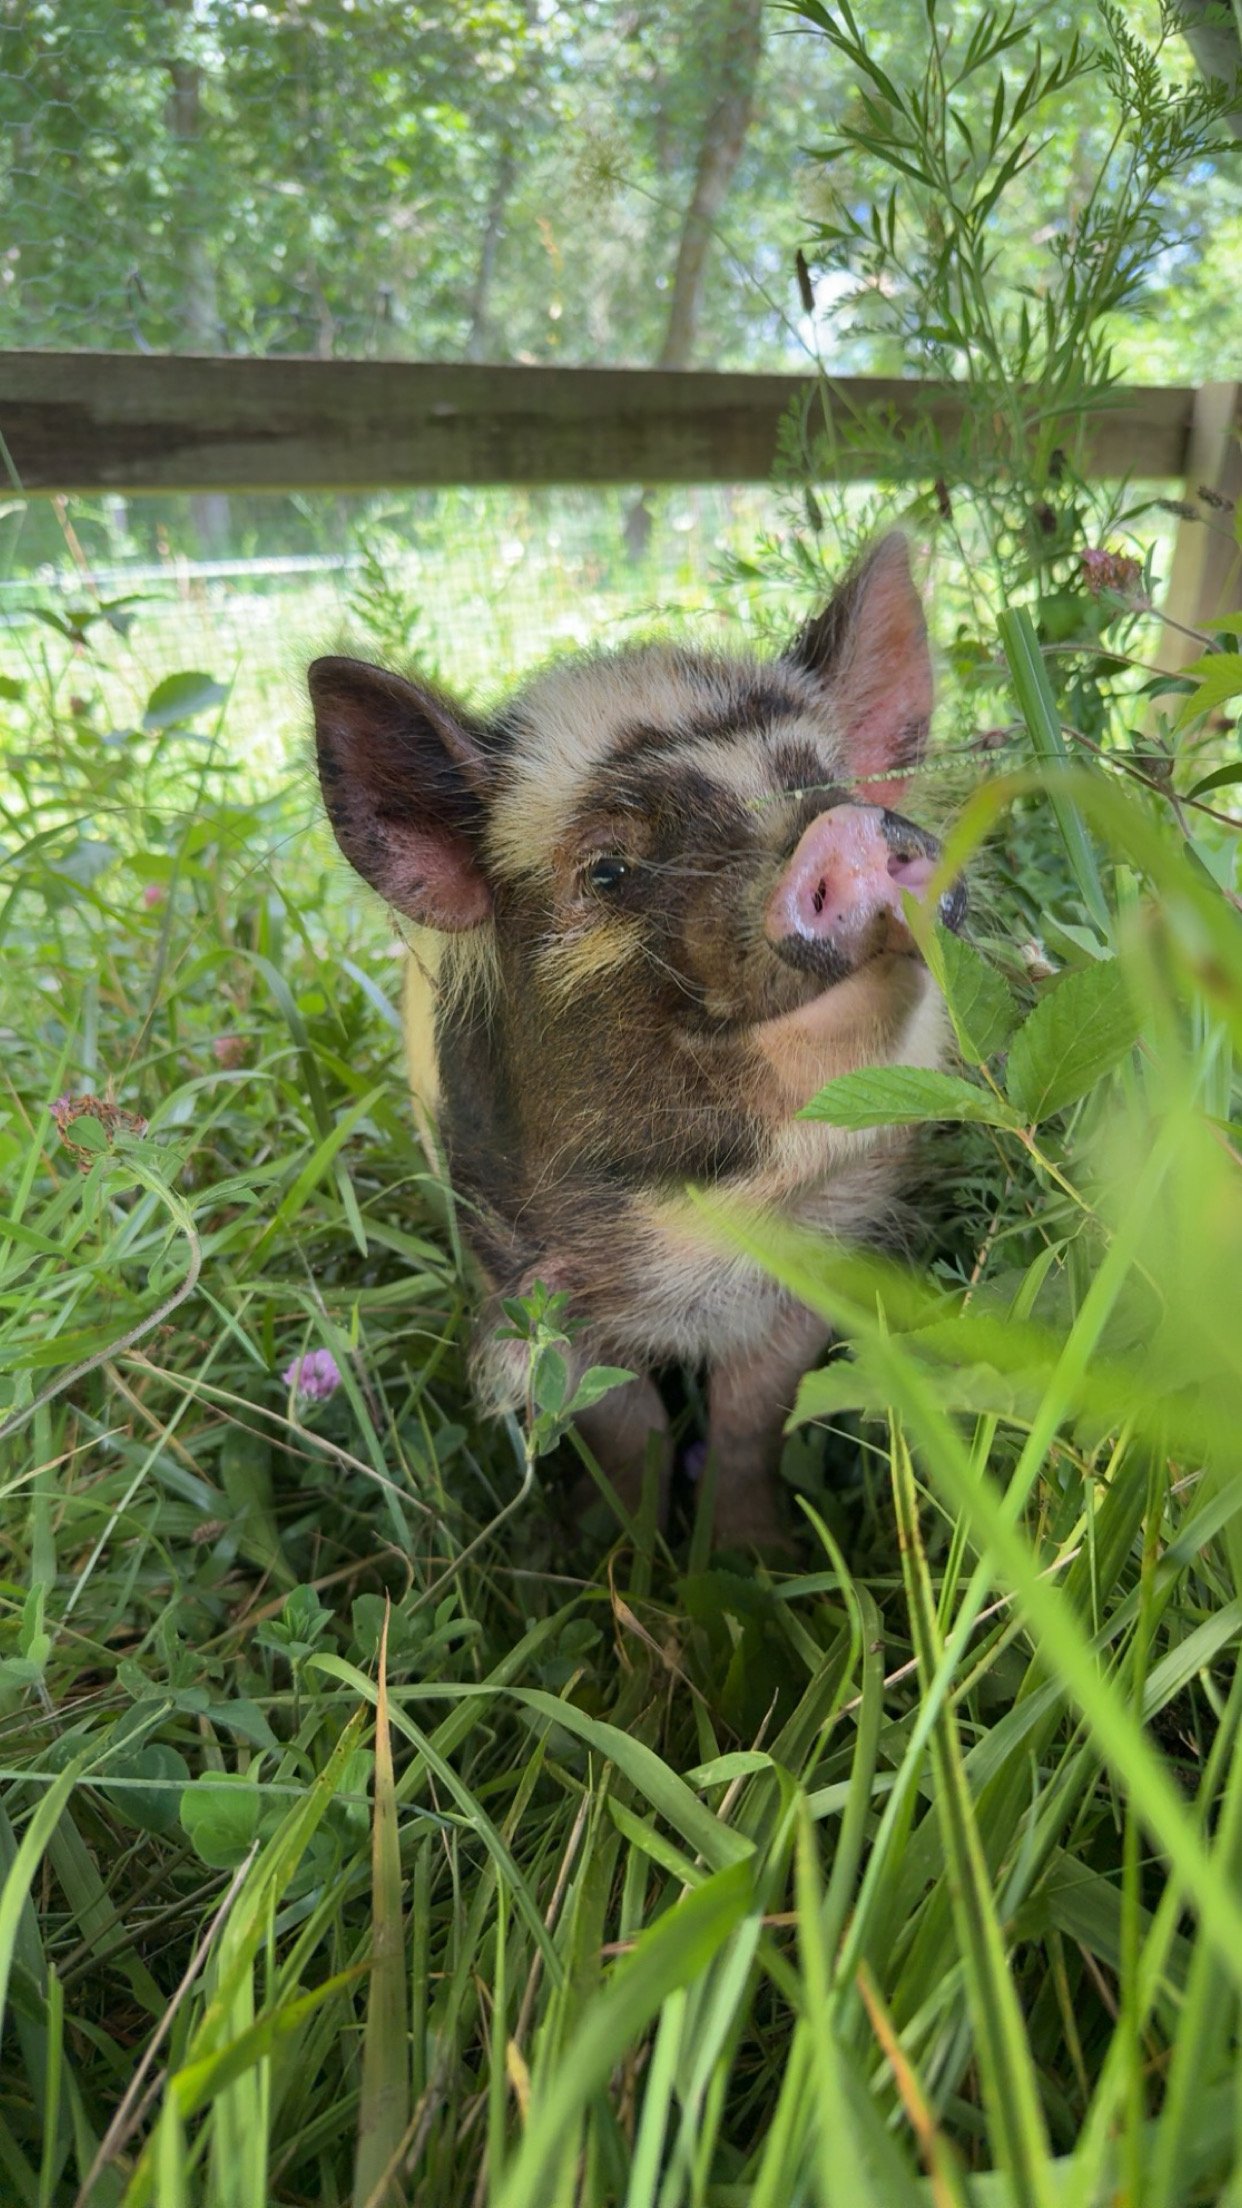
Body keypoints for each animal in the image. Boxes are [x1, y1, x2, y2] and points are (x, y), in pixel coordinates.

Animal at [310, 531, 964, 1546]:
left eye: (828, 780)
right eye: (607, 871)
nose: (842, 826)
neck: (709, 1222)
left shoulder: (830, 1250)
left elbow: (753, 1409)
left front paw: (749, 1561)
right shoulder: (518, 1286)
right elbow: (627, 1427)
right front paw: (614, 1558)